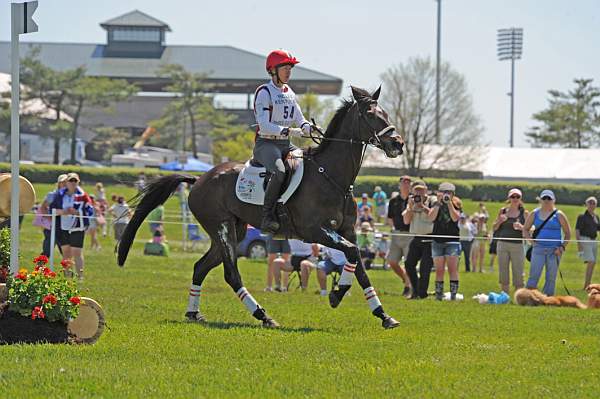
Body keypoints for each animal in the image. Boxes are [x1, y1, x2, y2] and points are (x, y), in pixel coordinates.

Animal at [116, 86, 408, 330]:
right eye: (371, 115)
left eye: (385, 113)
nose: (398, 144)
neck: (331, 176)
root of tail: (199, 179)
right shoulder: (315, 231)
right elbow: (352, 254)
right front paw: (336, 295)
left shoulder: (347, 230)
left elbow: (359, 265)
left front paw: (383, 315)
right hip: (221, 228)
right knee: (231, 274)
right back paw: (263, 315)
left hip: (234, 232)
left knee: (200, 267)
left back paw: (194, 313)